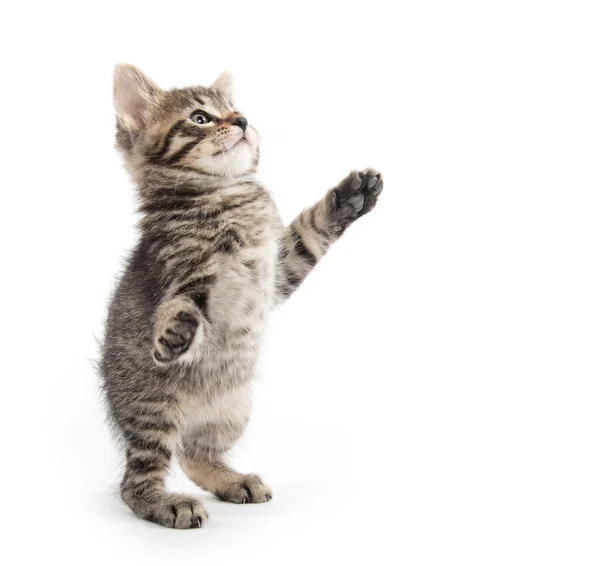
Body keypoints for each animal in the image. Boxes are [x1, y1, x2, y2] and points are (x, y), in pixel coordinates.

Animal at [100, 64, 382, 532]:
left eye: (236, 109)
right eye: (200, 118)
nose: (244, 122)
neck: (226, 194)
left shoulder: (279, 269)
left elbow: (310, 230)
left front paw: (349, 196)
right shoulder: (186, 269)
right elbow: (183, 301)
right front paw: (176, 332)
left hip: (232, 410)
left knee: (194, 455)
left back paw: (232, 480)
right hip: (152, 407)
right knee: (136, 482)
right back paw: (166, 503)